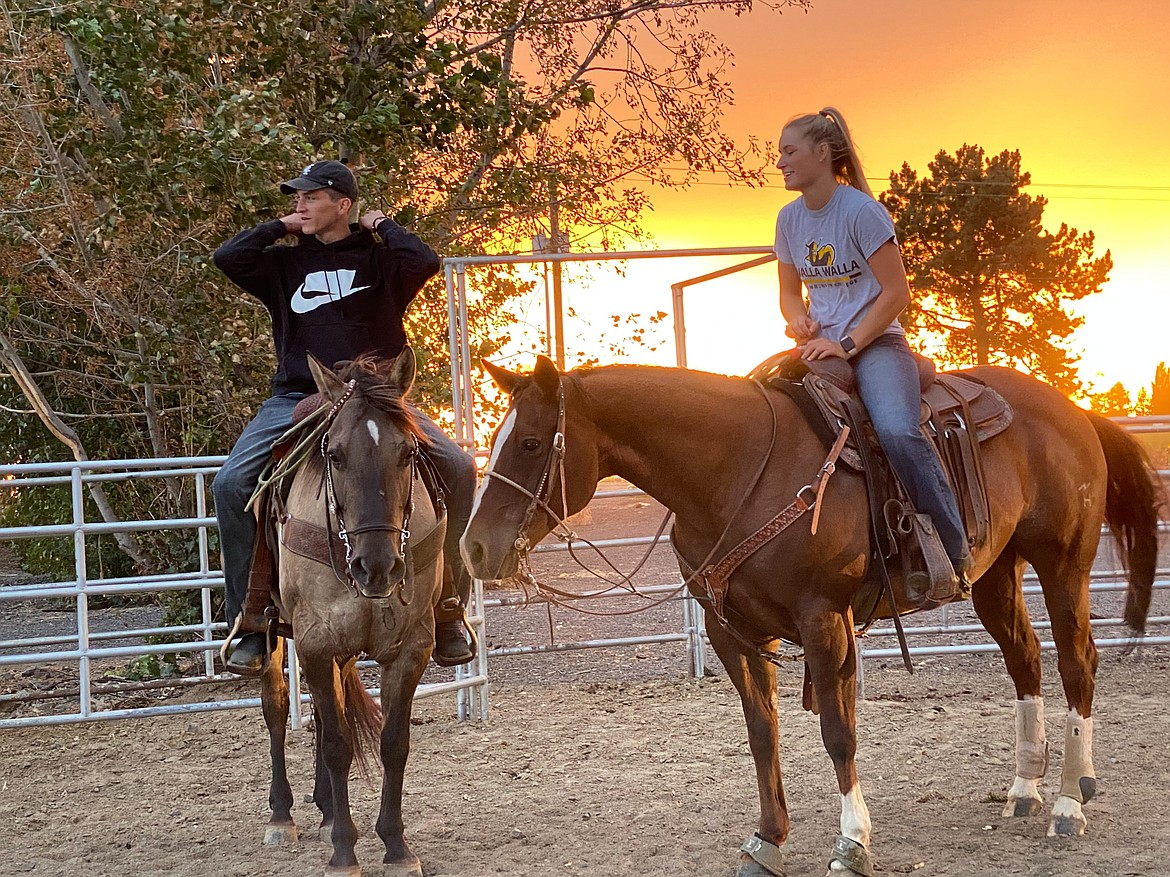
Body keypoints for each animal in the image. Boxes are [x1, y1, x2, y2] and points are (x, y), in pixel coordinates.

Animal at [256, 350, 442, 877]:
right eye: (334, 455)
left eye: (408, 453)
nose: (376, 566)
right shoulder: (316, 643)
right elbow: (338, 745)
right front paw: (344, 850)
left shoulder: (410, 649)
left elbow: (393, 744)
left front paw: (396, 846)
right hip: (276, 637)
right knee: (278, 709)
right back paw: (282, 816)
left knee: (324, 715)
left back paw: (323, 810)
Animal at [458, 357, 1160, 877]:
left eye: (529, 442)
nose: (473, 548)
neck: (738, 471)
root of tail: (1073, 409)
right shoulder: (733, 633)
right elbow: (762, 733)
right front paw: (768, 842)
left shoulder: (824, 621)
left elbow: (837, 732)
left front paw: (852, 844)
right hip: (993, 575)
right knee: (1025, 660)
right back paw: (1025, 790)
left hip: (1063, 564)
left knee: (1077, 663)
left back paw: (1067, 802)